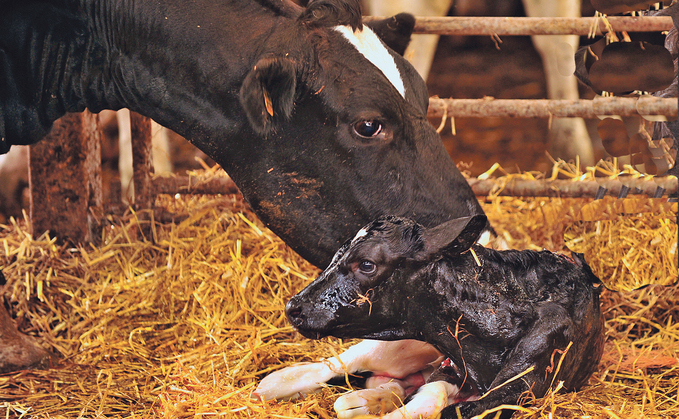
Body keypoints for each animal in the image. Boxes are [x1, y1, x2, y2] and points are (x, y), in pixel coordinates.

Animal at [256, 214, 604, 419]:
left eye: (367, 264)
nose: (294, 306)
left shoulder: (506, 392)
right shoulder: (449, 368)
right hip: (399, 347)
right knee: (341, 363)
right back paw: (270, 386)